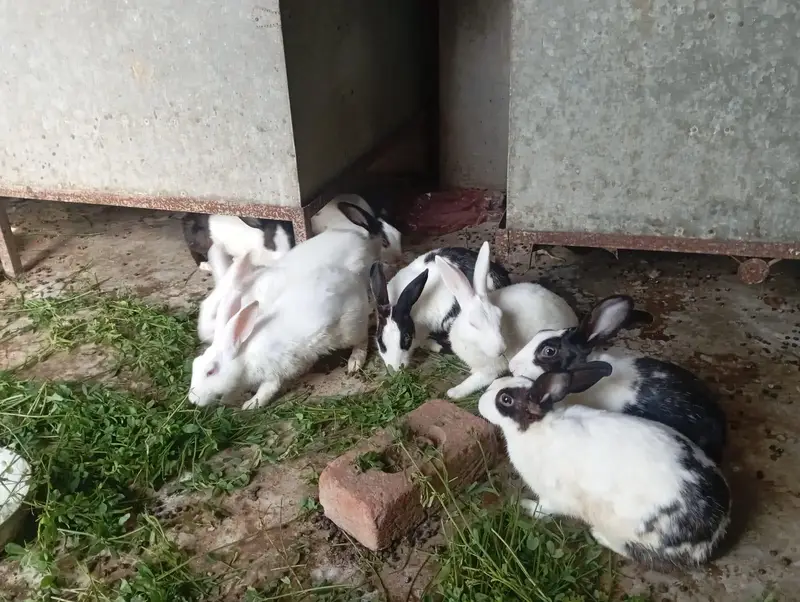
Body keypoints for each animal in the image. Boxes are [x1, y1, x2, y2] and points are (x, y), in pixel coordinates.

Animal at [188, 263, 371, 410]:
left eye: (210, 372)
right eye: (195, 364)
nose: (192, 400)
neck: (244, 358)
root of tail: (354, 280)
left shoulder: (271, 374)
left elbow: (266, 391)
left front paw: (249, 405)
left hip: (350, 329)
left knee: (364, 339)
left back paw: (355, 363)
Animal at [435, 241, 578, 399]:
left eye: (499, 316)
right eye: (473, 324)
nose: (501, 349)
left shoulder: (490, 370)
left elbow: (475, 381)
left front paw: (454, 392)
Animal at [478, 365, 732, 569]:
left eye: (506, 400)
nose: (480, 402)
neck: (538, 428)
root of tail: (716, 531)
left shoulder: (554, 495)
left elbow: (545, 509)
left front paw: (526, 507)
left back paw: (599, 536)